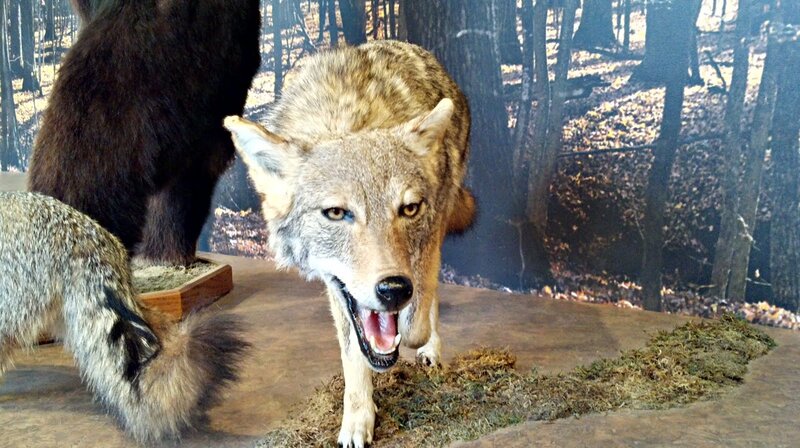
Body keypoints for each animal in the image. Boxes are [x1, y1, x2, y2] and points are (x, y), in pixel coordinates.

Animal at [224, 40, 474, 447]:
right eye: (337, 213)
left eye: (408, 209)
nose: (394, 289)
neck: (348, 118)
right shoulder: (337, 287)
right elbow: (354, 354)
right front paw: (357, 420)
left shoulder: (426, 241)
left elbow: (418, 315)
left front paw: (416, 334)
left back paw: (430, 348)